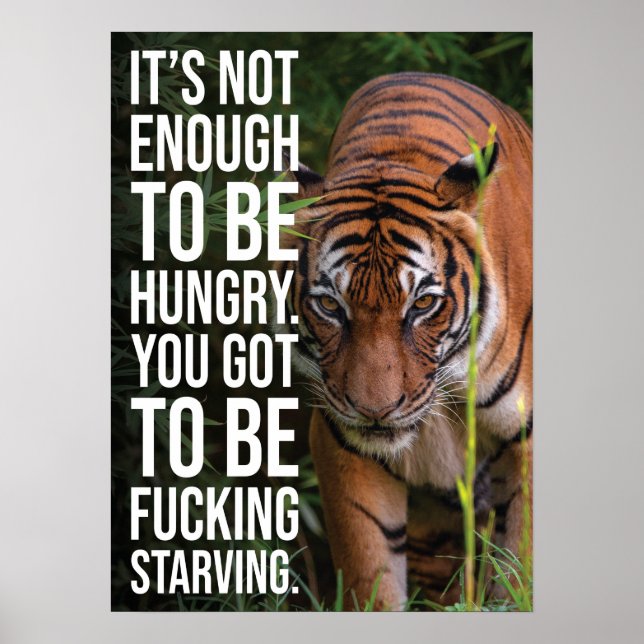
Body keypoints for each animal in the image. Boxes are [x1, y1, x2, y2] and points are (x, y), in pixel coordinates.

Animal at [275, 71, 532, 610]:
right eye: (330, 306)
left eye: (423, 304)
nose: (376, 411)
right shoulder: (341, 442)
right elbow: (370, 571)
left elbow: (521, 567)